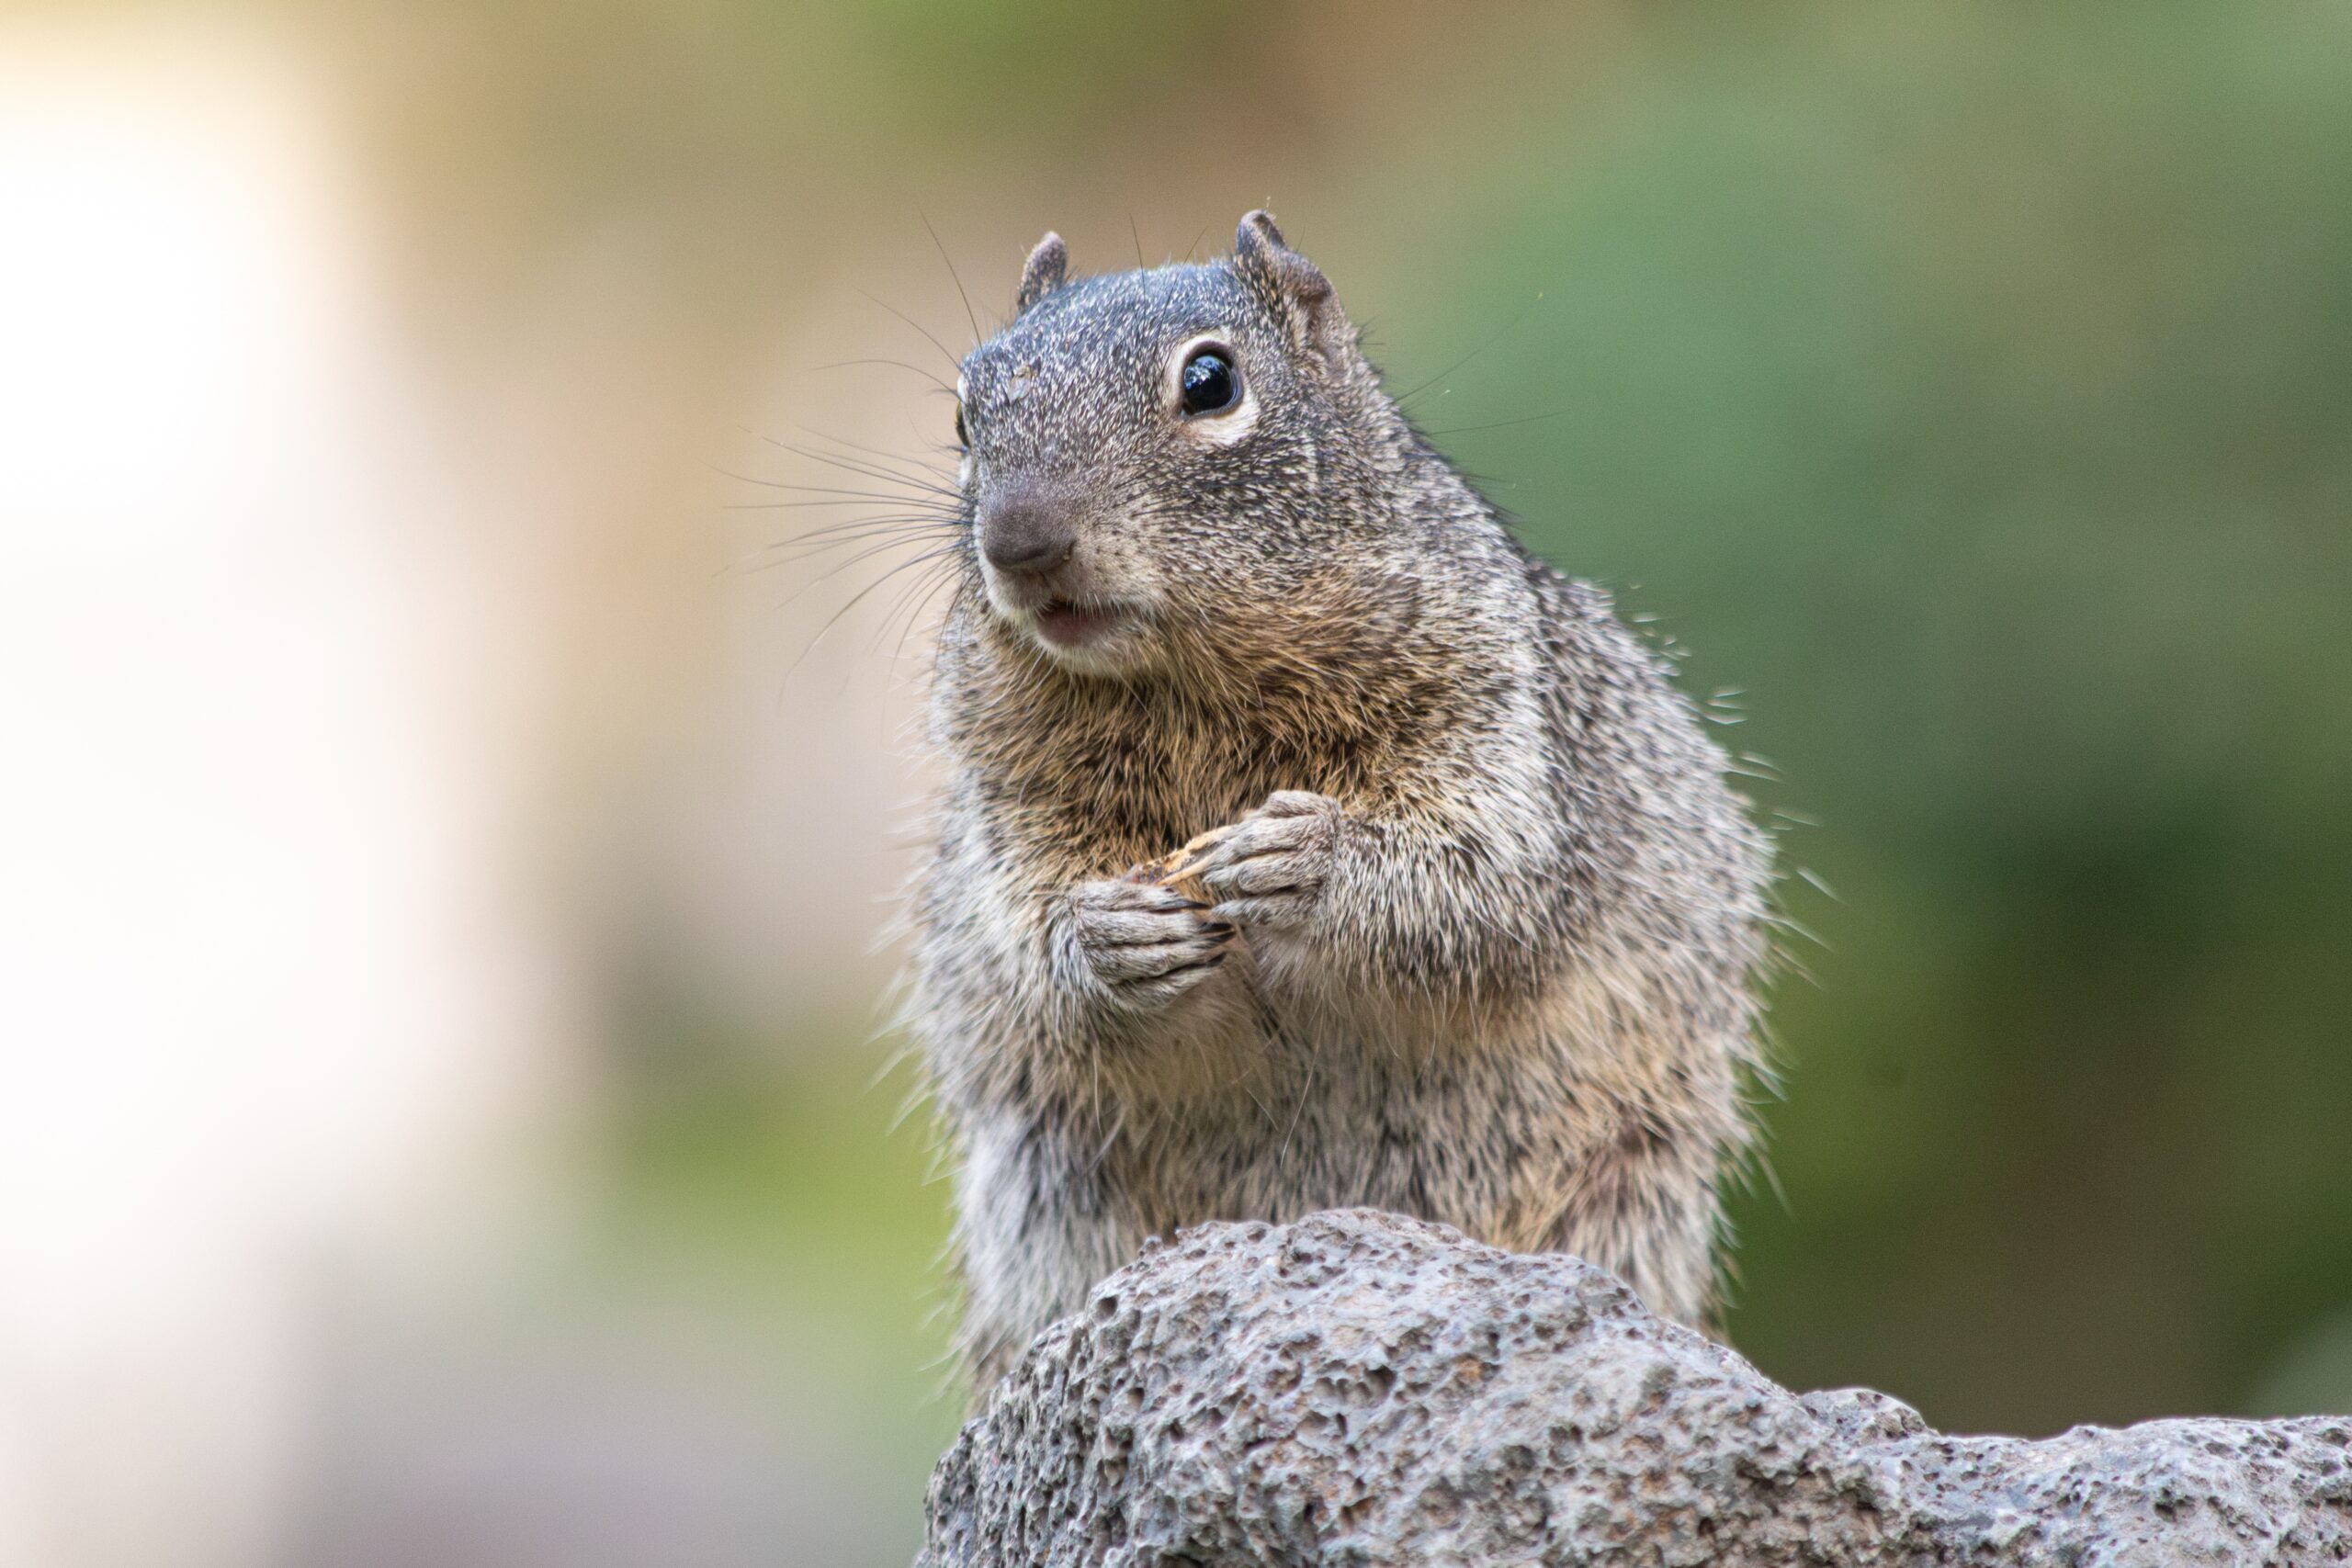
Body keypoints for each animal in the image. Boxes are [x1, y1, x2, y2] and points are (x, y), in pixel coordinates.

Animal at [907, 211, 1774, 1387]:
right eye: (963, 411)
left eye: (1211, 381)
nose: (1018, 542)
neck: (1186, 683)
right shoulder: (1008, 791)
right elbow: (1025, 940)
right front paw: (1108, 938)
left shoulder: (1498, 731)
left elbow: (1485, 891)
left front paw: (1306, 866)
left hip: (1628, 1189)